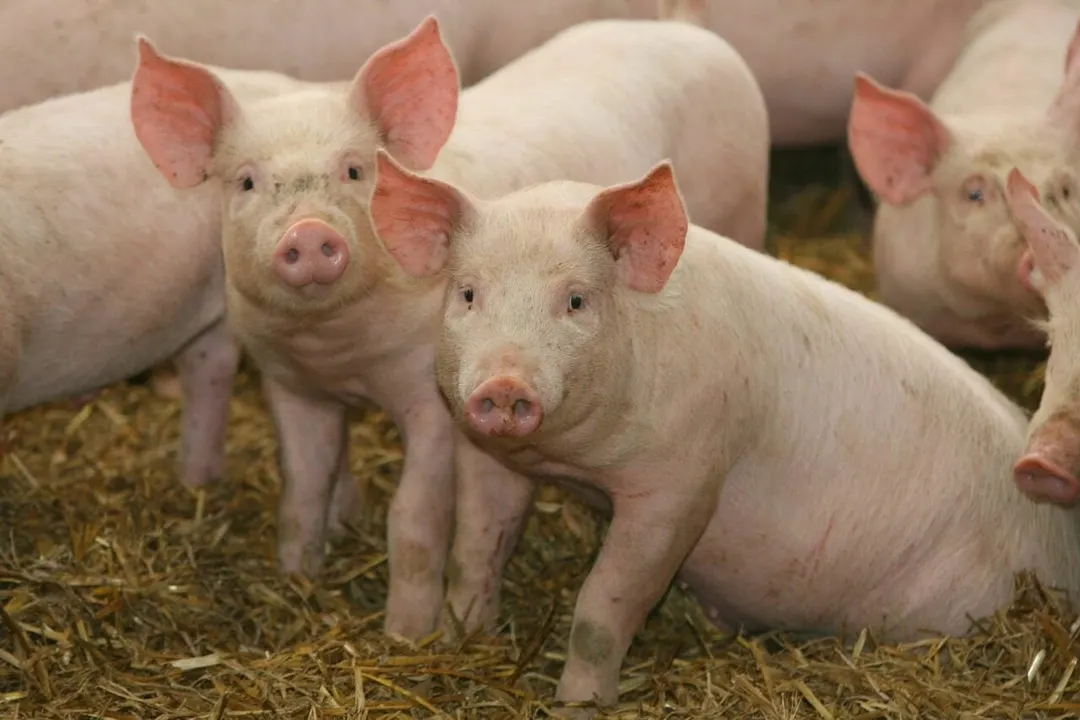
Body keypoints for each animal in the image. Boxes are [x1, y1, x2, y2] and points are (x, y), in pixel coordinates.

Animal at [127, 9, 769, 641]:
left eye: (355, 170)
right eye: (246, 181)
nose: (309, 233)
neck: (339, 351)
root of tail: (683, 28)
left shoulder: (433, 398)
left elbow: (414, 515)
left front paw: (407, 636)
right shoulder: (290, 385)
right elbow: (302, 488)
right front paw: (296, 579)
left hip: (744, 207)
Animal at [369, 150, 1080, 712]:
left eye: (575, 300)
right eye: (467, 293)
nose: (504, 384)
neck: (574, 464)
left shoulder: (682, 483)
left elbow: (604, 606)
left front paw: (576, 705)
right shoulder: (491, 456)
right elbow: (475, 550)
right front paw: (461, 638)